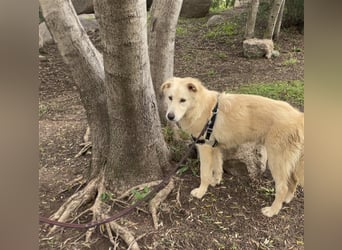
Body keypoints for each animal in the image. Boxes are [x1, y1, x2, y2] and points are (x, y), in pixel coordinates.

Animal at [161, 76, 304, 217]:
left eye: (183, 100)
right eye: (170, 98)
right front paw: (216, 181)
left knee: (282, 187)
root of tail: (298, 117)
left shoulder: (204, 147)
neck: (203, 108)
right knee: (294, 180)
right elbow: (218, 167)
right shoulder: (214, 147)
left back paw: (273, 210)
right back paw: (287, 199)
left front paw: (201, 191)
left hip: (276, 160)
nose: (170, 116)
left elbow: (204, 173)